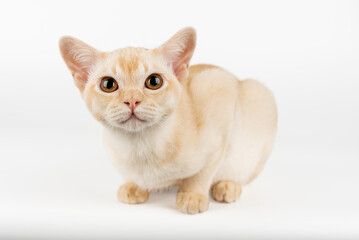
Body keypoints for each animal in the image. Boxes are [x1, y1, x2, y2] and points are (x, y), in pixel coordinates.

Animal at [59, 26, 278, 214]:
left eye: (154, 82)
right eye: (108, 85)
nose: (132, 100)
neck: (140, 146)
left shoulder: (219, 91)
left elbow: (203, 172)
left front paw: (192, 195)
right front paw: (133, 185)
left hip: (258, 96)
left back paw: (228, 185)